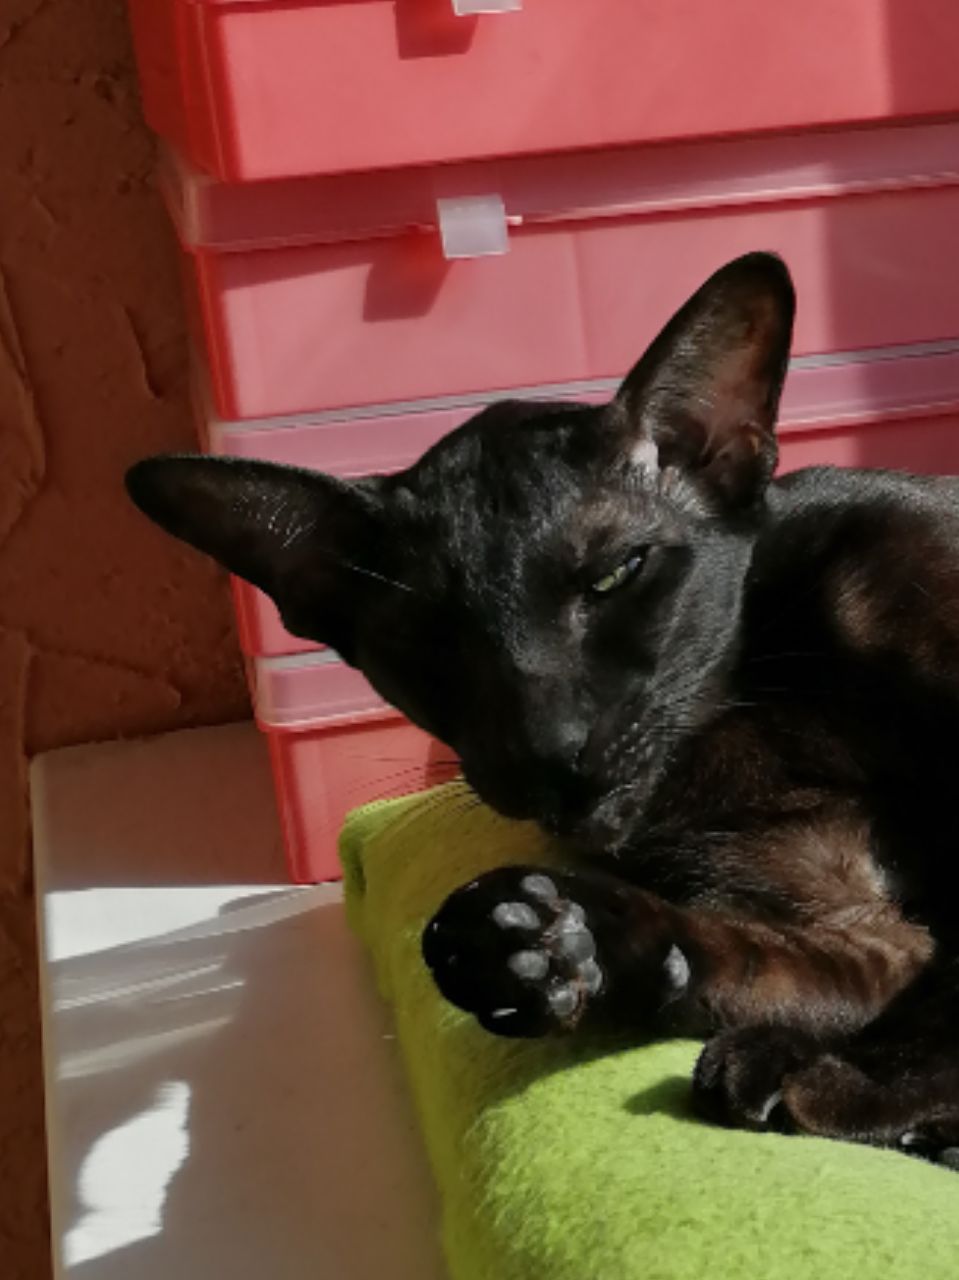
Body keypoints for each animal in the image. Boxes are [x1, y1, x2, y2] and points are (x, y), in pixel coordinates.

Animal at [127, 253, 959, 1165]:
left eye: (614, 575)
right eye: (428, 639)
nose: (552, 751)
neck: (751, 714)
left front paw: (839, 1079)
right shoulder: (853, 929)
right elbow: (769, 958)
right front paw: (537, 943)